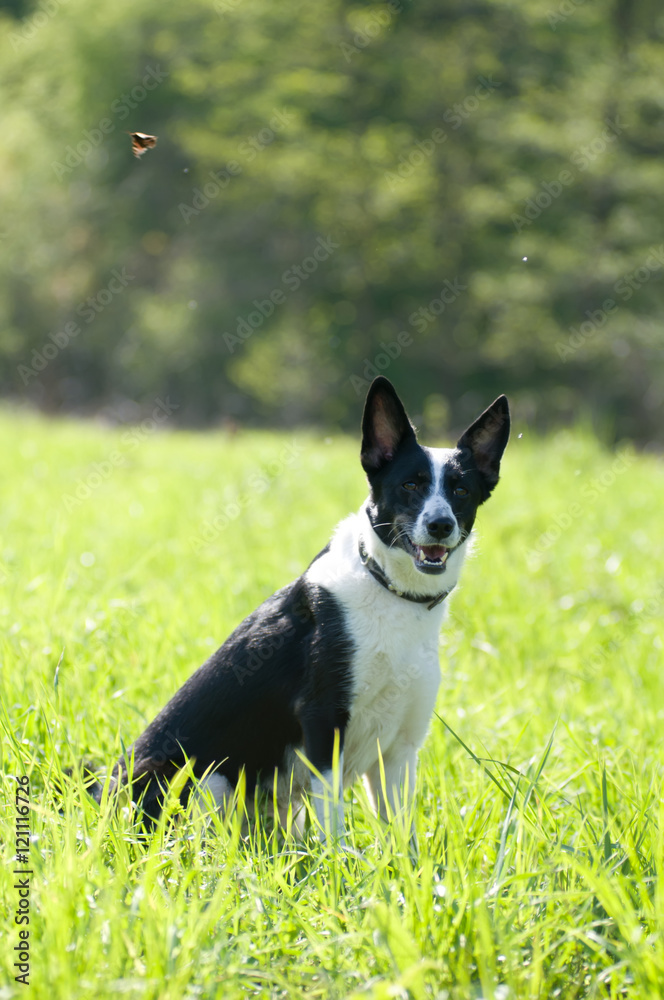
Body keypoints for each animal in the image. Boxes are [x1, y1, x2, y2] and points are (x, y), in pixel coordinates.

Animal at [93, 378, 508, 840]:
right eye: (410, 485)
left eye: (460, 491)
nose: (440, 525)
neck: (391, 591)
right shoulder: (323, 724)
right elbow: (333, 823)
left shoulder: (401, 748)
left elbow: (402, 838)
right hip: (204, 778)